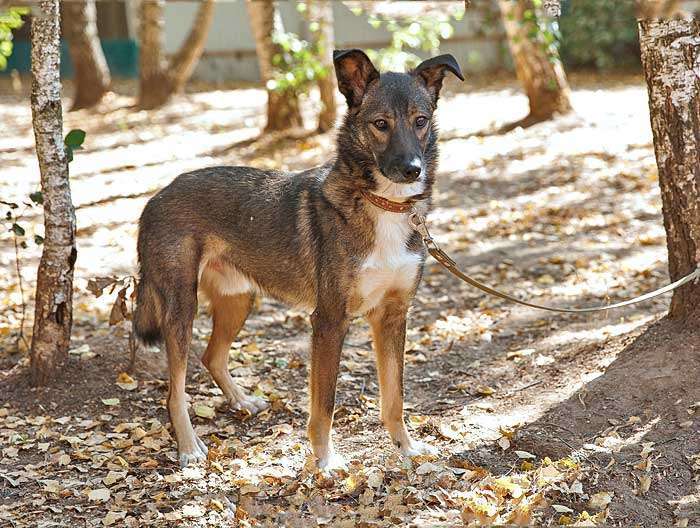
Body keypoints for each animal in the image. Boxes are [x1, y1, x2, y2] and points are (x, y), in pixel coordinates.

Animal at [135, 49, 464, 470]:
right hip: (180, 306)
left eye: (420, 121)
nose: (412, 170)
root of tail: (156, 197)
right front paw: (325, 461)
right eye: (381, 124)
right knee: (174, 389)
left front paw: (406, 448)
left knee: (212, 356)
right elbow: (324, 404)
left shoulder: (392, 316)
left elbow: (394, 398)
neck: (382, 204)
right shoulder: (329, 320)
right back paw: (189, 447)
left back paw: (241, 400)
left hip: (239, 299)